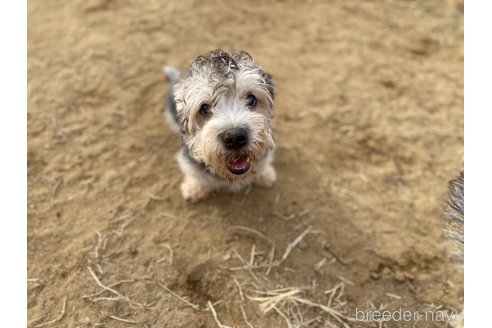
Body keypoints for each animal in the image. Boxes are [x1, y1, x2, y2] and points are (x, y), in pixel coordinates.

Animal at [162, 49, 274, 201]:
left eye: (251, 99)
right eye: (204, 108)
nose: (234, 138)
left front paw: (265, 175)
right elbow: (194, 173)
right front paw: (193, 188)